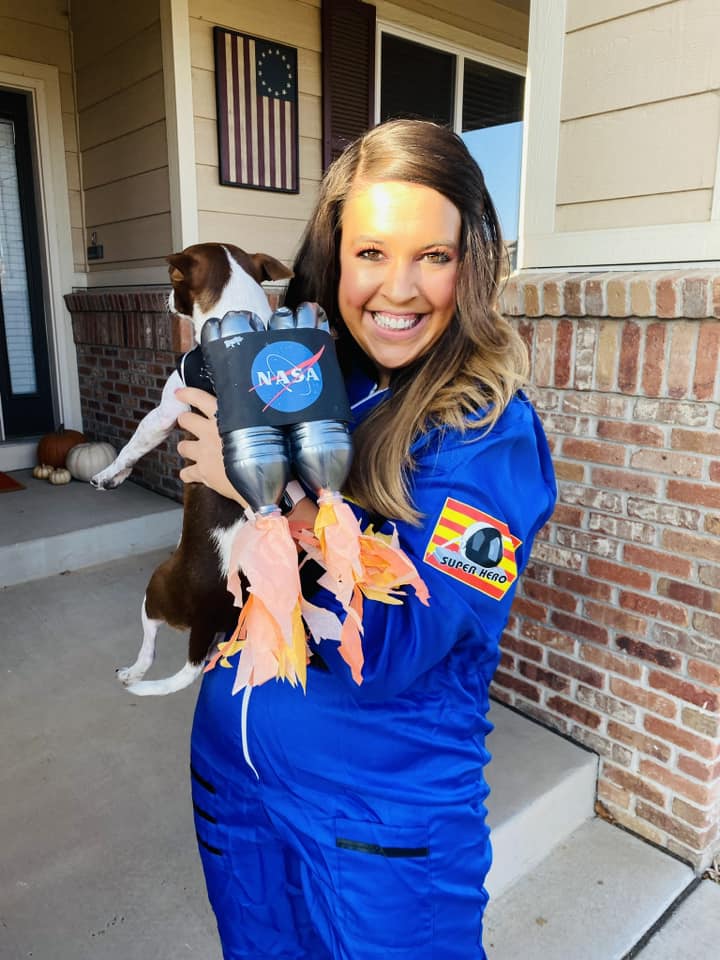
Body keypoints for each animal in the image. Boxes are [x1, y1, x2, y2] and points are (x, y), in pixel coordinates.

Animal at [94, 240, 294, 692]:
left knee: (149, 644)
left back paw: (133, 671)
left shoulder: (166, 410)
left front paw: (109, 475)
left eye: (173, 279)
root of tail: (205, 621)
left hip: (154, 589)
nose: (166, 301)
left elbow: (134, 444)